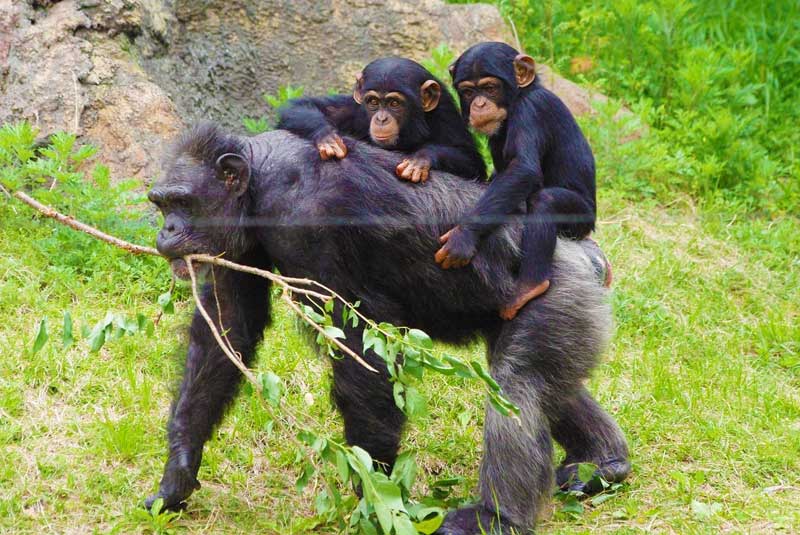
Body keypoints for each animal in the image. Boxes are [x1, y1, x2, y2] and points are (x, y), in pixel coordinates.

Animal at [145, 123, 632, 532]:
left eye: (183, 202)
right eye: (162, 203)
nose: (166, 230)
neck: (261, 185)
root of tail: (587, 255)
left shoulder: (315, 224)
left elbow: (362, 351)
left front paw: (374, 491)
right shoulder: (236, 251)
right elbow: (227, 328)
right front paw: (179, 472)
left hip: (555, 292)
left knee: (518, 386)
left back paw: (497, 516)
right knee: (548, 384)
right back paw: (603, 462)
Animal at [276, 56, 488, 182]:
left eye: (394, 103)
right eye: (373, 102)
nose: (381, 119)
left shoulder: (445, 115)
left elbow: (472, 161)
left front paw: (420, 159)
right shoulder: (354, 110)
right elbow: (305, 106)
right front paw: (328, 137)